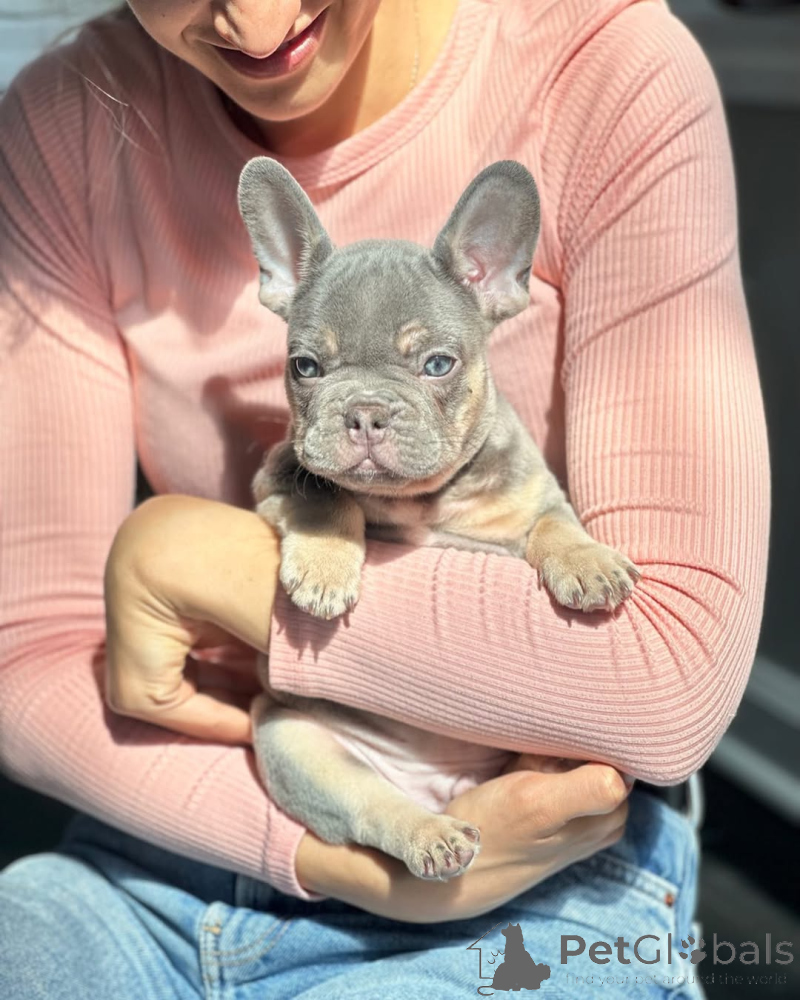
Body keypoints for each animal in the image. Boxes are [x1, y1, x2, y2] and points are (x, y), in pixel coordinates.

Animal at [238, 158, 640, 880]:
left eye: (437, 365)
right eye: (305, 367)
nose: (365, 411)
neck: (420, 498)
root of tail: (441, 786)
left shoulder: (536, 491)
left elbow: (554, 524)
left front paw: (588, 562)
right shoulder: (280, 473)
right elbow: (327, 497)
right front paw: (325, 568)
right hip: (294, 741)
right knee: (370, 807)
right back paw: (430, 834)